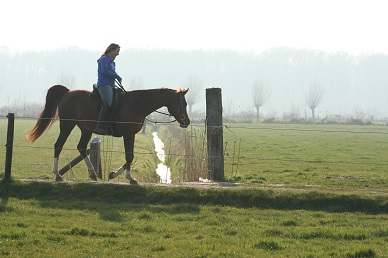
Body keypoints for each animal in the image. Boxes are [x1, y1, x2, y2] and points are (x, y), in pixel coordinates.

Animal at [25, 84, 189, 183]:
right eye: (184, 104)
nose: (186, 122)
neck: (136, 104)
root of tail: (68, 93)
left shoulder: (132, 135)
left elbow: (131, 156)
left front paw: (113, 174)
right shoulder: (128, 134)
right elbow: (129, 156)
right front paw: (129, 178)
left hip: (85, 129)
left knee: (81, 147)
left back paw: (92, 173)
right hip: (67, 125)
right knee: (58, 145)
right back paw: (57, 175)